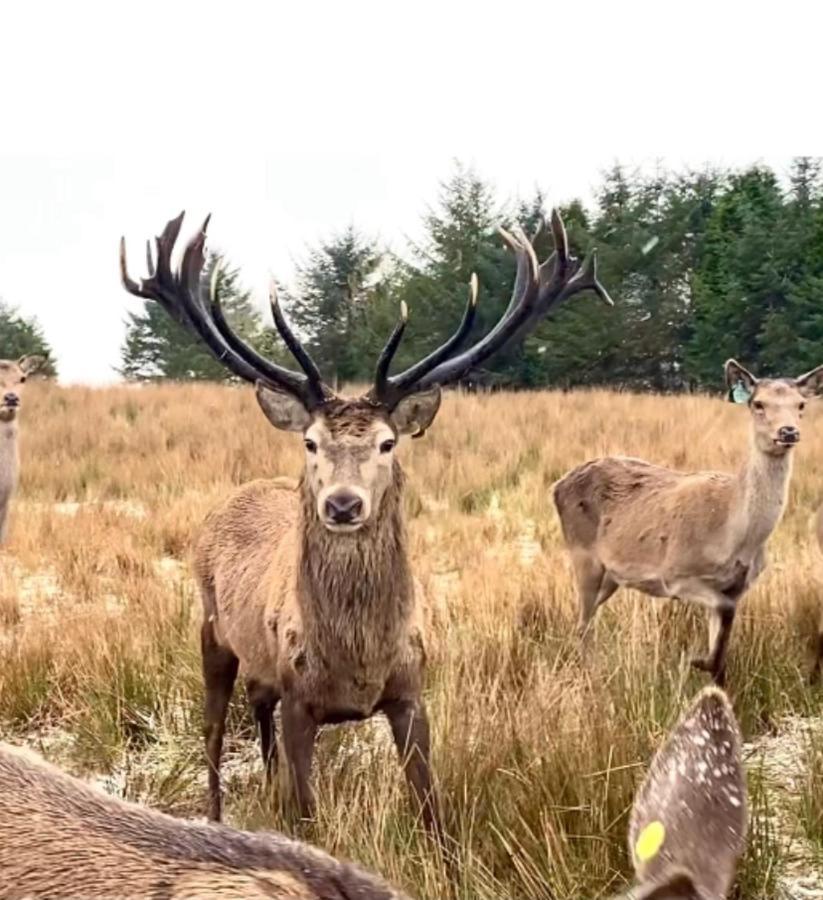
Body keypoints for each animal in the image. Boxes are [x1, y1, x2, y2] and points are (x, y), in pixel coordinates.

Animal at [120, 209, 612, 828]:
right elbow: (306, 812)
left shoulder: (411, 691)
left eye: (387, 442)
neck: (356, 663)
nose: (343, 504)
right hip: (210, 628)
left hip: (259, 667)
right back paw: (214, 817)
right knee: (212, 733)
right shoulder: (299, 697)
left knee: (258, 713)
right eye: (310, 441)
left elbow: (429, 806)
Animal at [552, 358, 823, 684]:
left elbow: (723, 639)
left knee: (585, 620)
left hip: (612, 576)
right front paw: (700, 661)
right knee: (583, 624)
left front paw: (714, 677)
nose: (788, 431)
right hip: (583, 555)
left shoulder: (736, 586)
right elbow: (724, 612)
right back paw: (589, 673)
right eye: (758, 403)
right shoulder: (676, 573)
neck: (733, 538)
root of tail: (557, 486)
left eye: (801, 404)